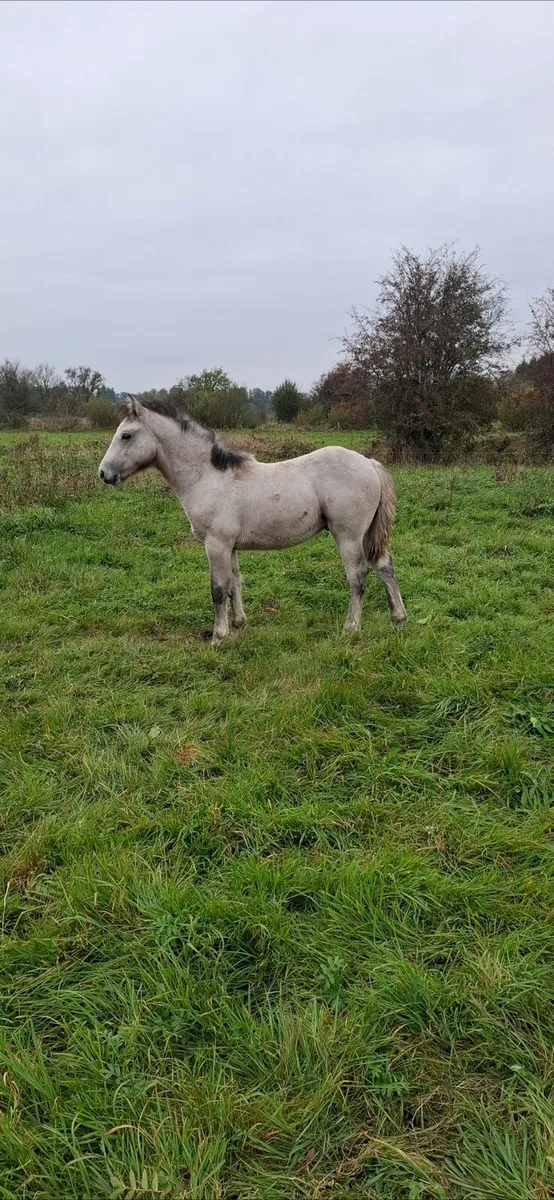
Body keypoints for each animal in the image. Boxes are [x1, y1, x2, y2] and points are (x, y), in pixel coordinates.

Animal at [98, 396, 406, 643]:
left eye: (126, 435)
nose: (103, 473)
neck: (207, 477)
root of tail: (369, 463)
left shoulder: (216, 544)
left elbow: (218, 589)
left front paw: (219, 637)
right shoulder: (230, 546)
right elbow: (235, 583)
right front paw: (238, 626)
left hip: (348, 535)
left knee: (358, 576)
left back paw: (351, 628)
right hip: (366, 534)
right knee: (384, 566)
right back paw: (398, 618)